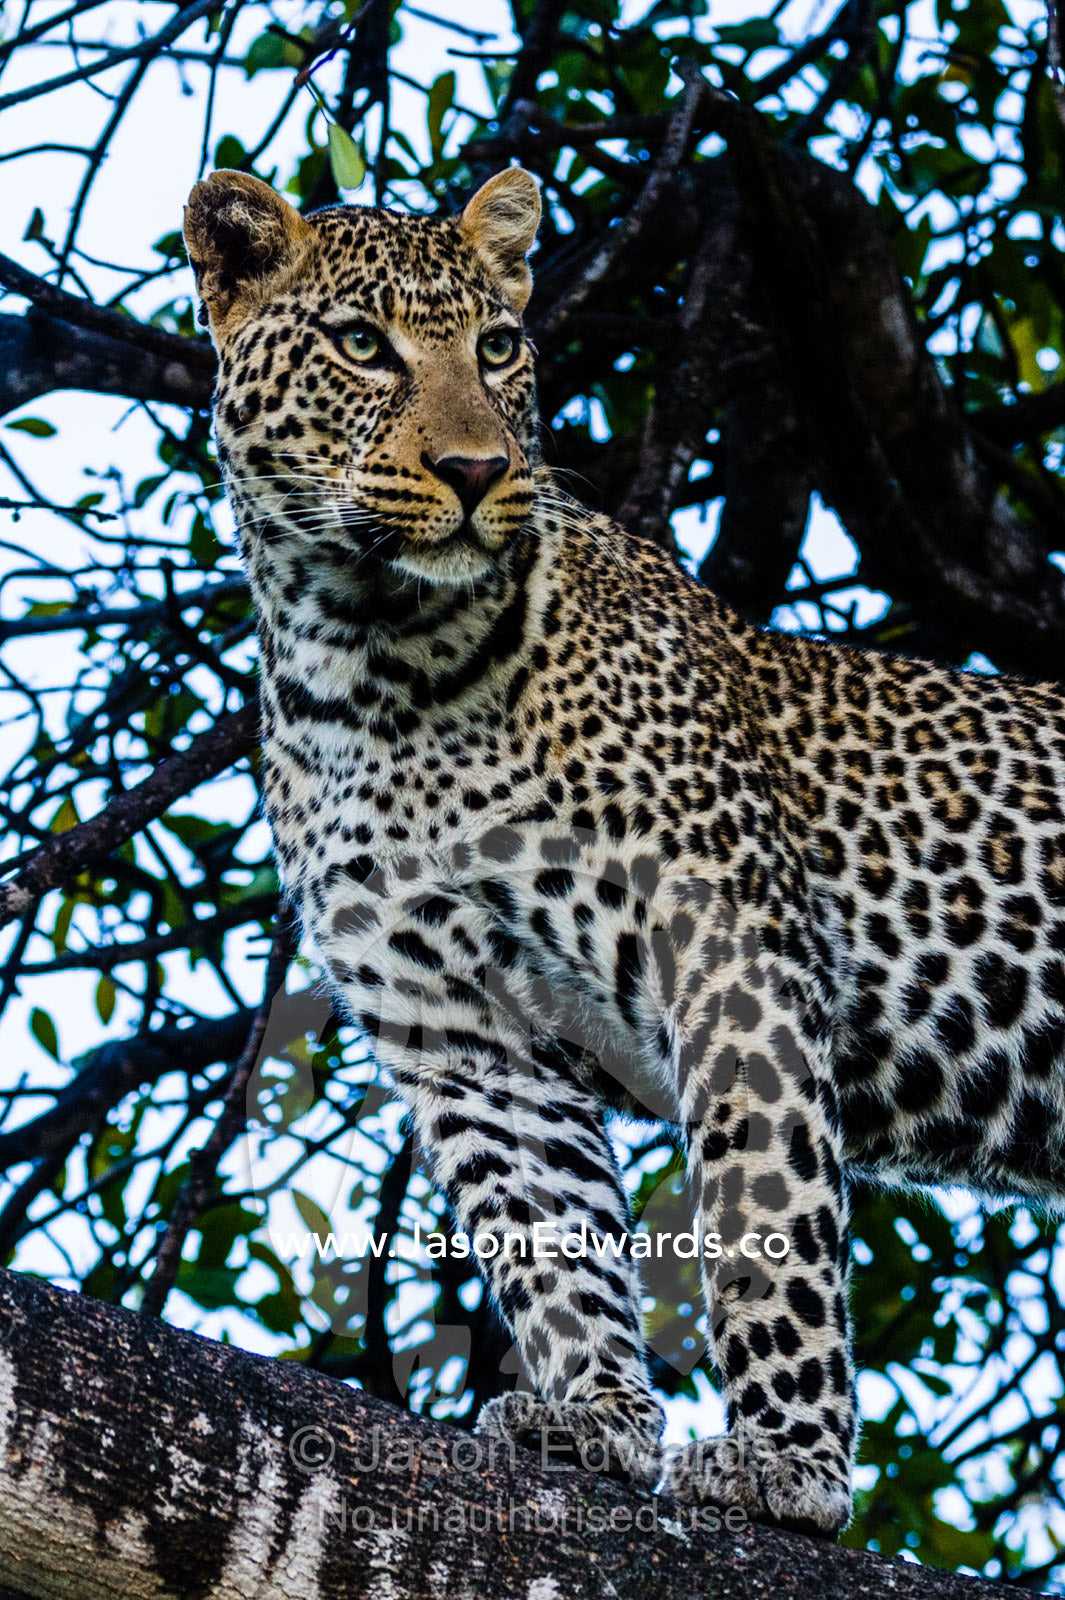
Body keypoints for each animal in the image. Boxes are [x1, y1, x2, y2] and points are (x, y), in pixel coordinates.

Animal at [184, 163, 1065, 1538]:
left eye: (498, 349)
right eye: (362, 346)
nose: (477, 468)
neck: (371, 660)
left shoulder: (729, 936)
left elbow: (765, 1204)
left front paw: (787, 1466)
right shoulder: (459, 1026)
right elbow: (548, 1230)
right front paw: (595, 1416)